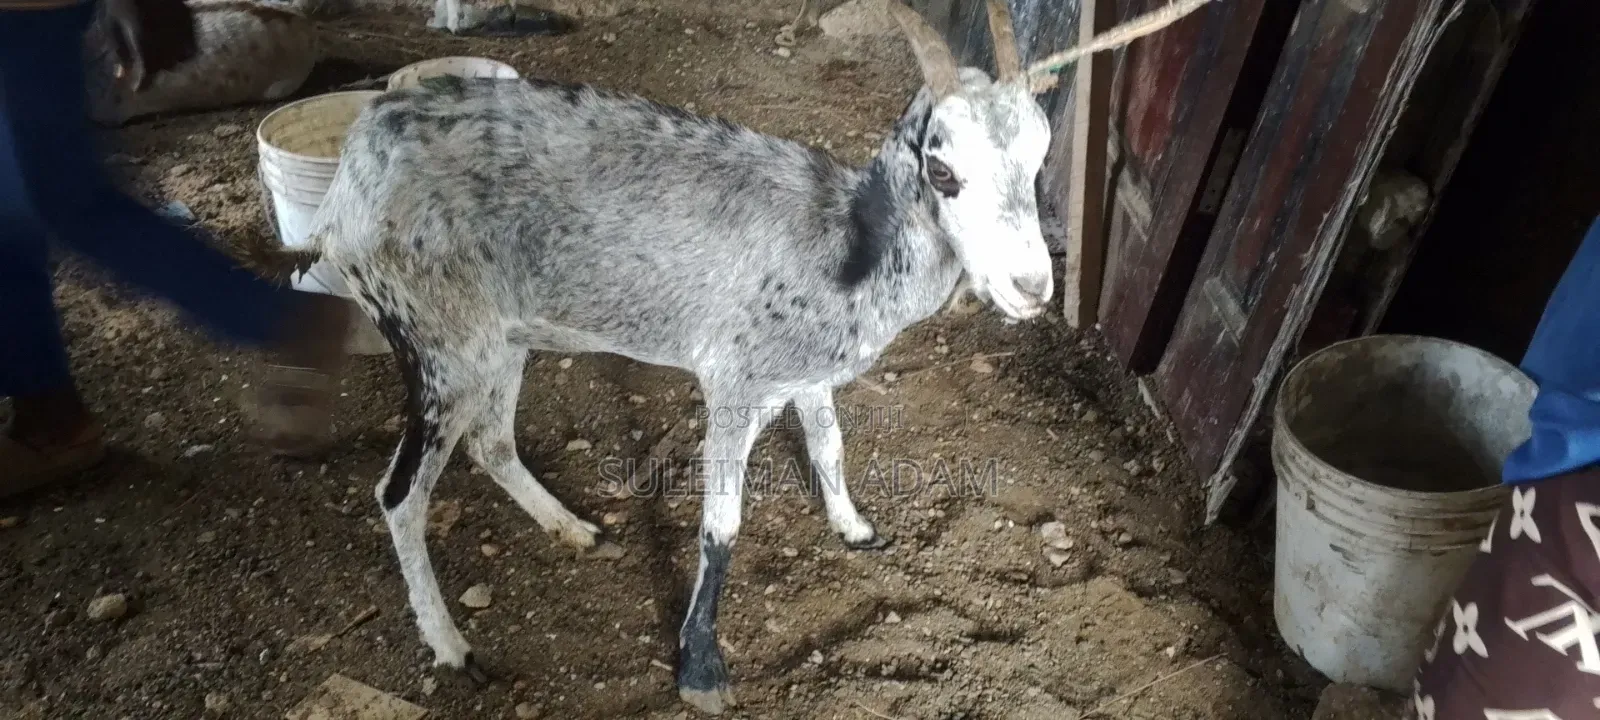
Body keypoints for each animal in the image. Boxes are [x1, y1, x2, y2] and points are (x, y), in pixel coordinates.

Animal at [301, 0, 1207, 713]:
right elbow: (723, 525)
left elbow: (832, 447)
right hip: (439, 340)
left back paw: (572, 528)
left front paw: (854, 528)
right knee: (399, 493)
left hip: (505, 336)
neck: (847, 247)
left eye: (1041, 154)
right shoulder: (734, 382)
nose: (1031, 286)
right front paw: (700, 666)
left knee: (491, 443)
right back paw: (452, 646)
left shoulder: (806, 376)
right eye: (942, 167)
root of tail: (355, 171)